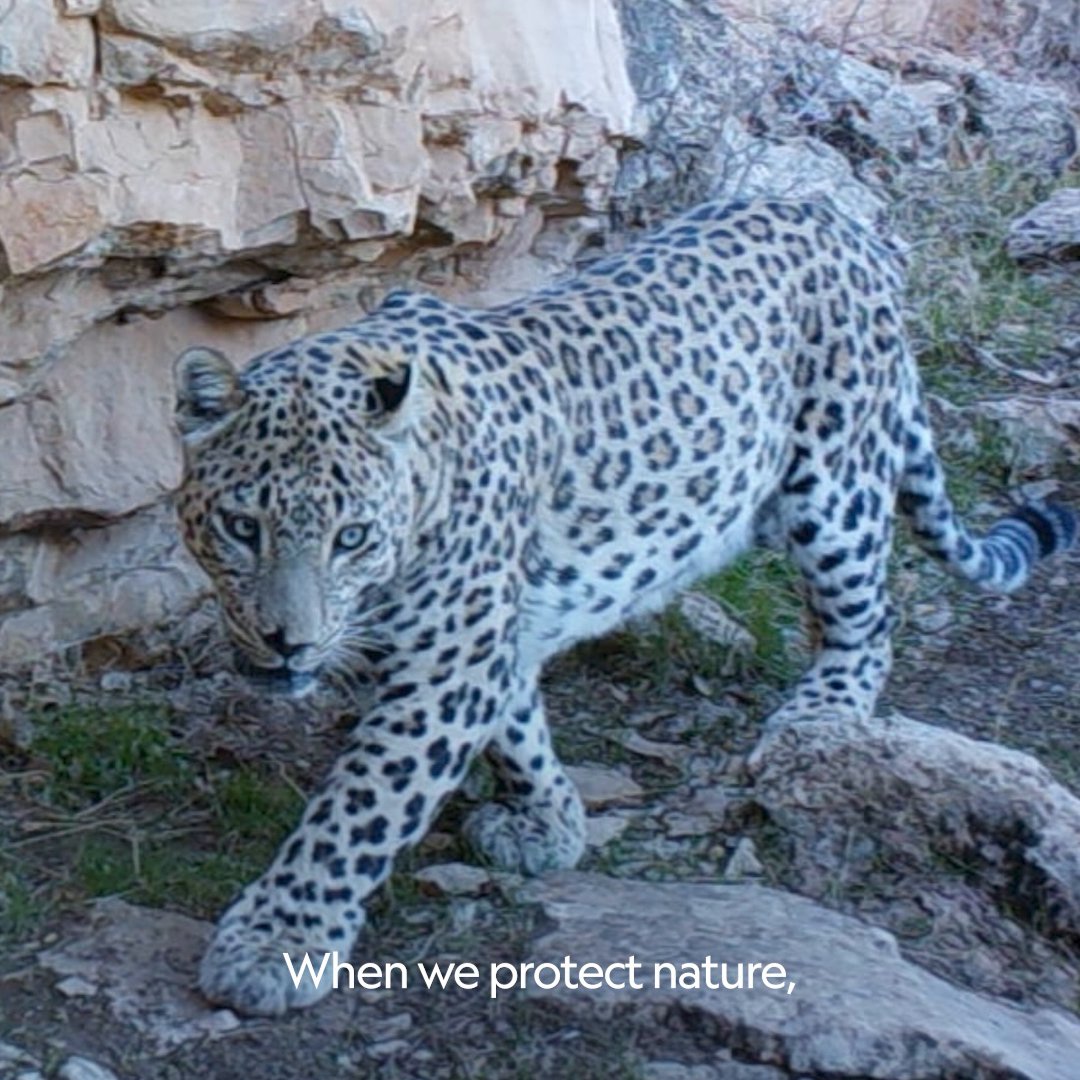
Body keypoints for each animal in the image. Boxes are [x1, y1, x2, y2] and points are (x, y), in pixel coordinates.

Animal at [172, 198, 1075, 1016]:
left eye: (352, 537)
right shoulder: (479, 643)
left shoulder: (446, 662)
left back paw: (819, 714)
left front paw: (275, 942)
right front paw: (550, 824)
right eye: (243, 527)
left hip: (835, 486)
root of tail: (832, 213)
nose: (289, 643)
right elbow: (517, 728)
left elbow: (360, 805)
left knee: (869, 621)